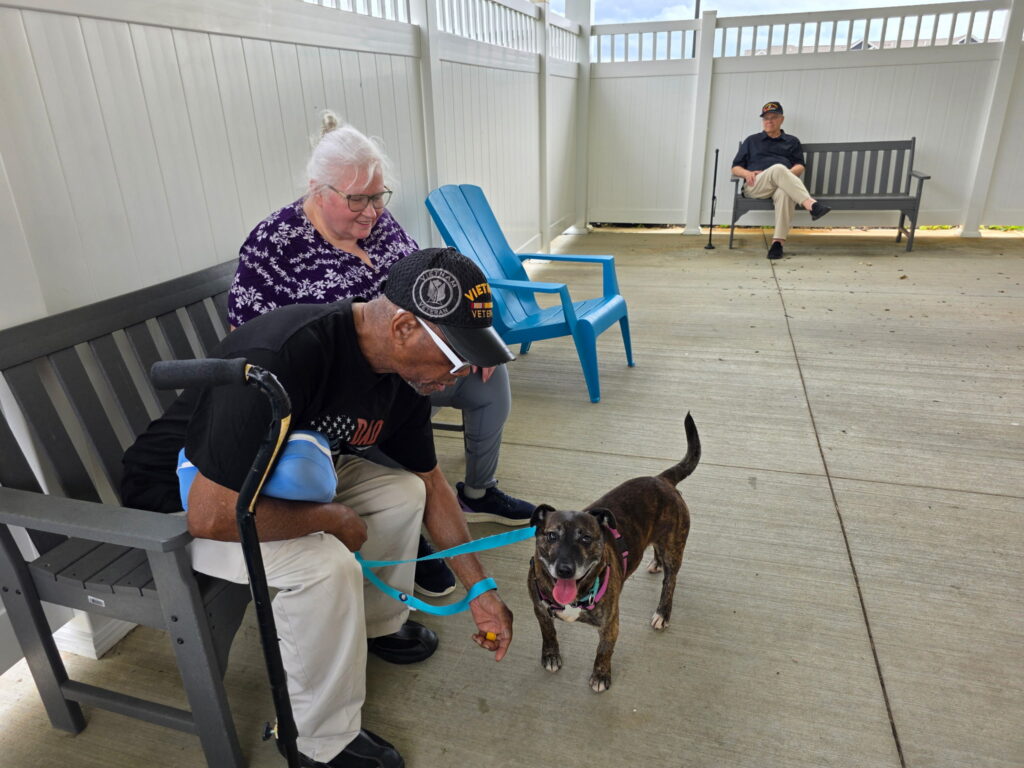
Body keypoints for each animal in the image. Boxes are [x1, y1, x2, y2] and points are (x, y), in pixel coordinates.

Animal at [527, 412, 700, 693]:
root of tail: (662, 479)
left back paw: (663, 613)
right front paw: (551, 655)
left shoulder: (610, 624)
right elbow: (549, 632)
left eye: (586, 538)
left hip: (674, 547)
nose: (565, 569)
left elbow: (603, 651)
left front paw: (600, 676)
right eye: (552, 535)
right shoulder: (540, 610)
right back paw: (655, 563)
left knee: (670, 581)